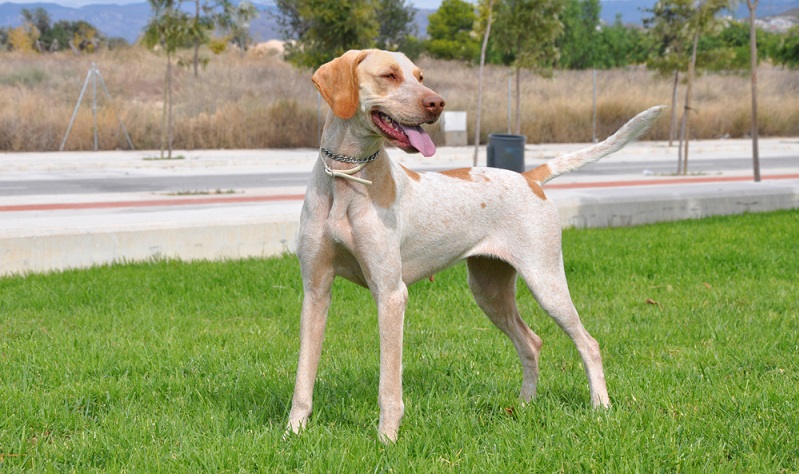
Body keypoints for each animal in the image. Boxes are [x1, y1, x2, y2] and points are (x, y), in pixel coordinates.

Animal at [288, 48, 664, 440]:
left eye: (420, 77)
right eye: (389, 75)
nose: (437, 103)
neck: (347, 179)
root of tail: (530, 178)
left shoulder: (390, 294)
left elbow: (389, 384)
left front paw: (387, 439)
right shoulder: (315, 290)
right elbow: (304, 376)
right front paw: (293, 433)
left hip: (546, 282)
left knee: (588, 343)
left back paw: (600, 406)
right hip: (489, 290)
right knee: (532, 342)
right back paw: (525, 405)